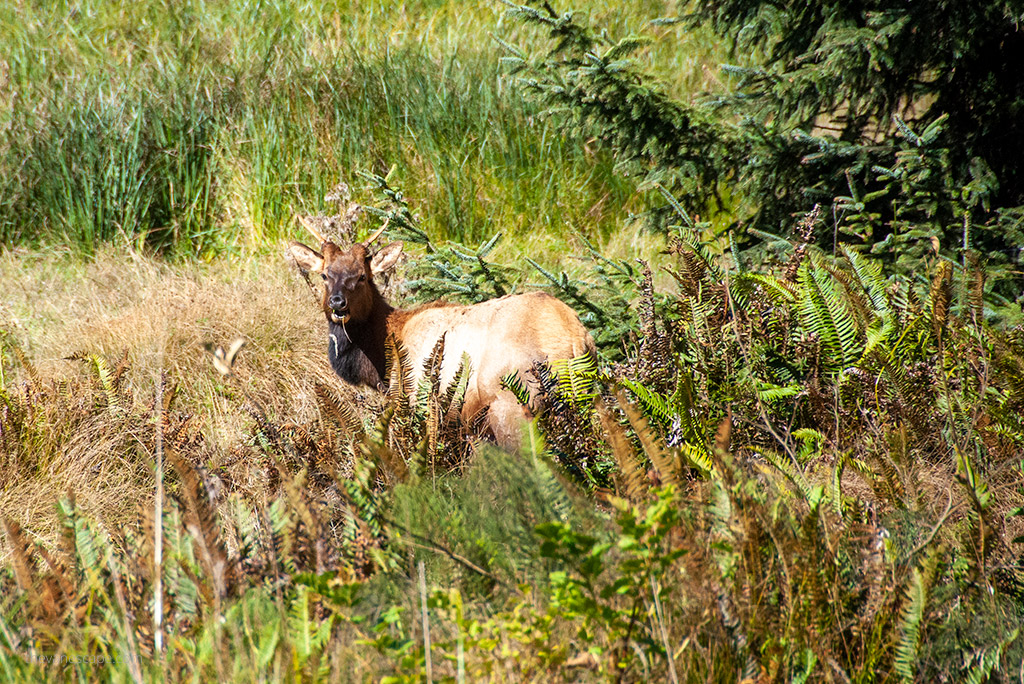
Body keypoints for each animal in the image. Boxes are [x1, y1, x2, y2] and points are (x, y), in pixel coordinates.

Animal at [287, 220, 596, 448]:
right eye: (325, 275)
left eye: (362, 276)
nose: (337, 303)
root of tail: (576, 339)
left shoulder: (410, 402)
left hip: (515, 404)